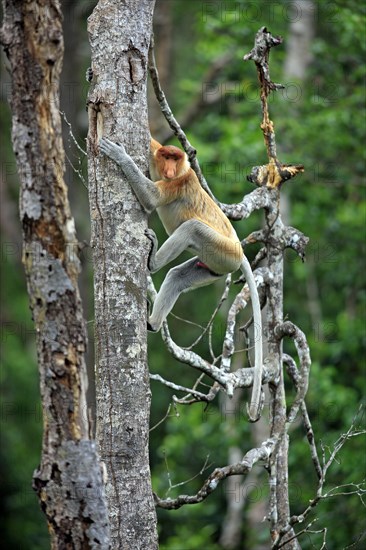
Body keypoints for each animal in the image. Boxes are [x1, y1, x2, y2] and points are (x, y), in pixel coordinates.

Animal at [98, 138, 264, 422]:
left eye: (176, 159)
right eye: (167, 156)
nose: (169, 169)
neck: (181, 170)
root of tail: (240, 250)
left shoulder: (180, 182)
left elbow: (152, 198)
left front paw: (118, 153)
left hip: (221, 252)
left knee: (191, 228)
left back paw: (153, 262)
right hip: (212, 266)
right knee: (177, 276)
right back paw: (153, 323)